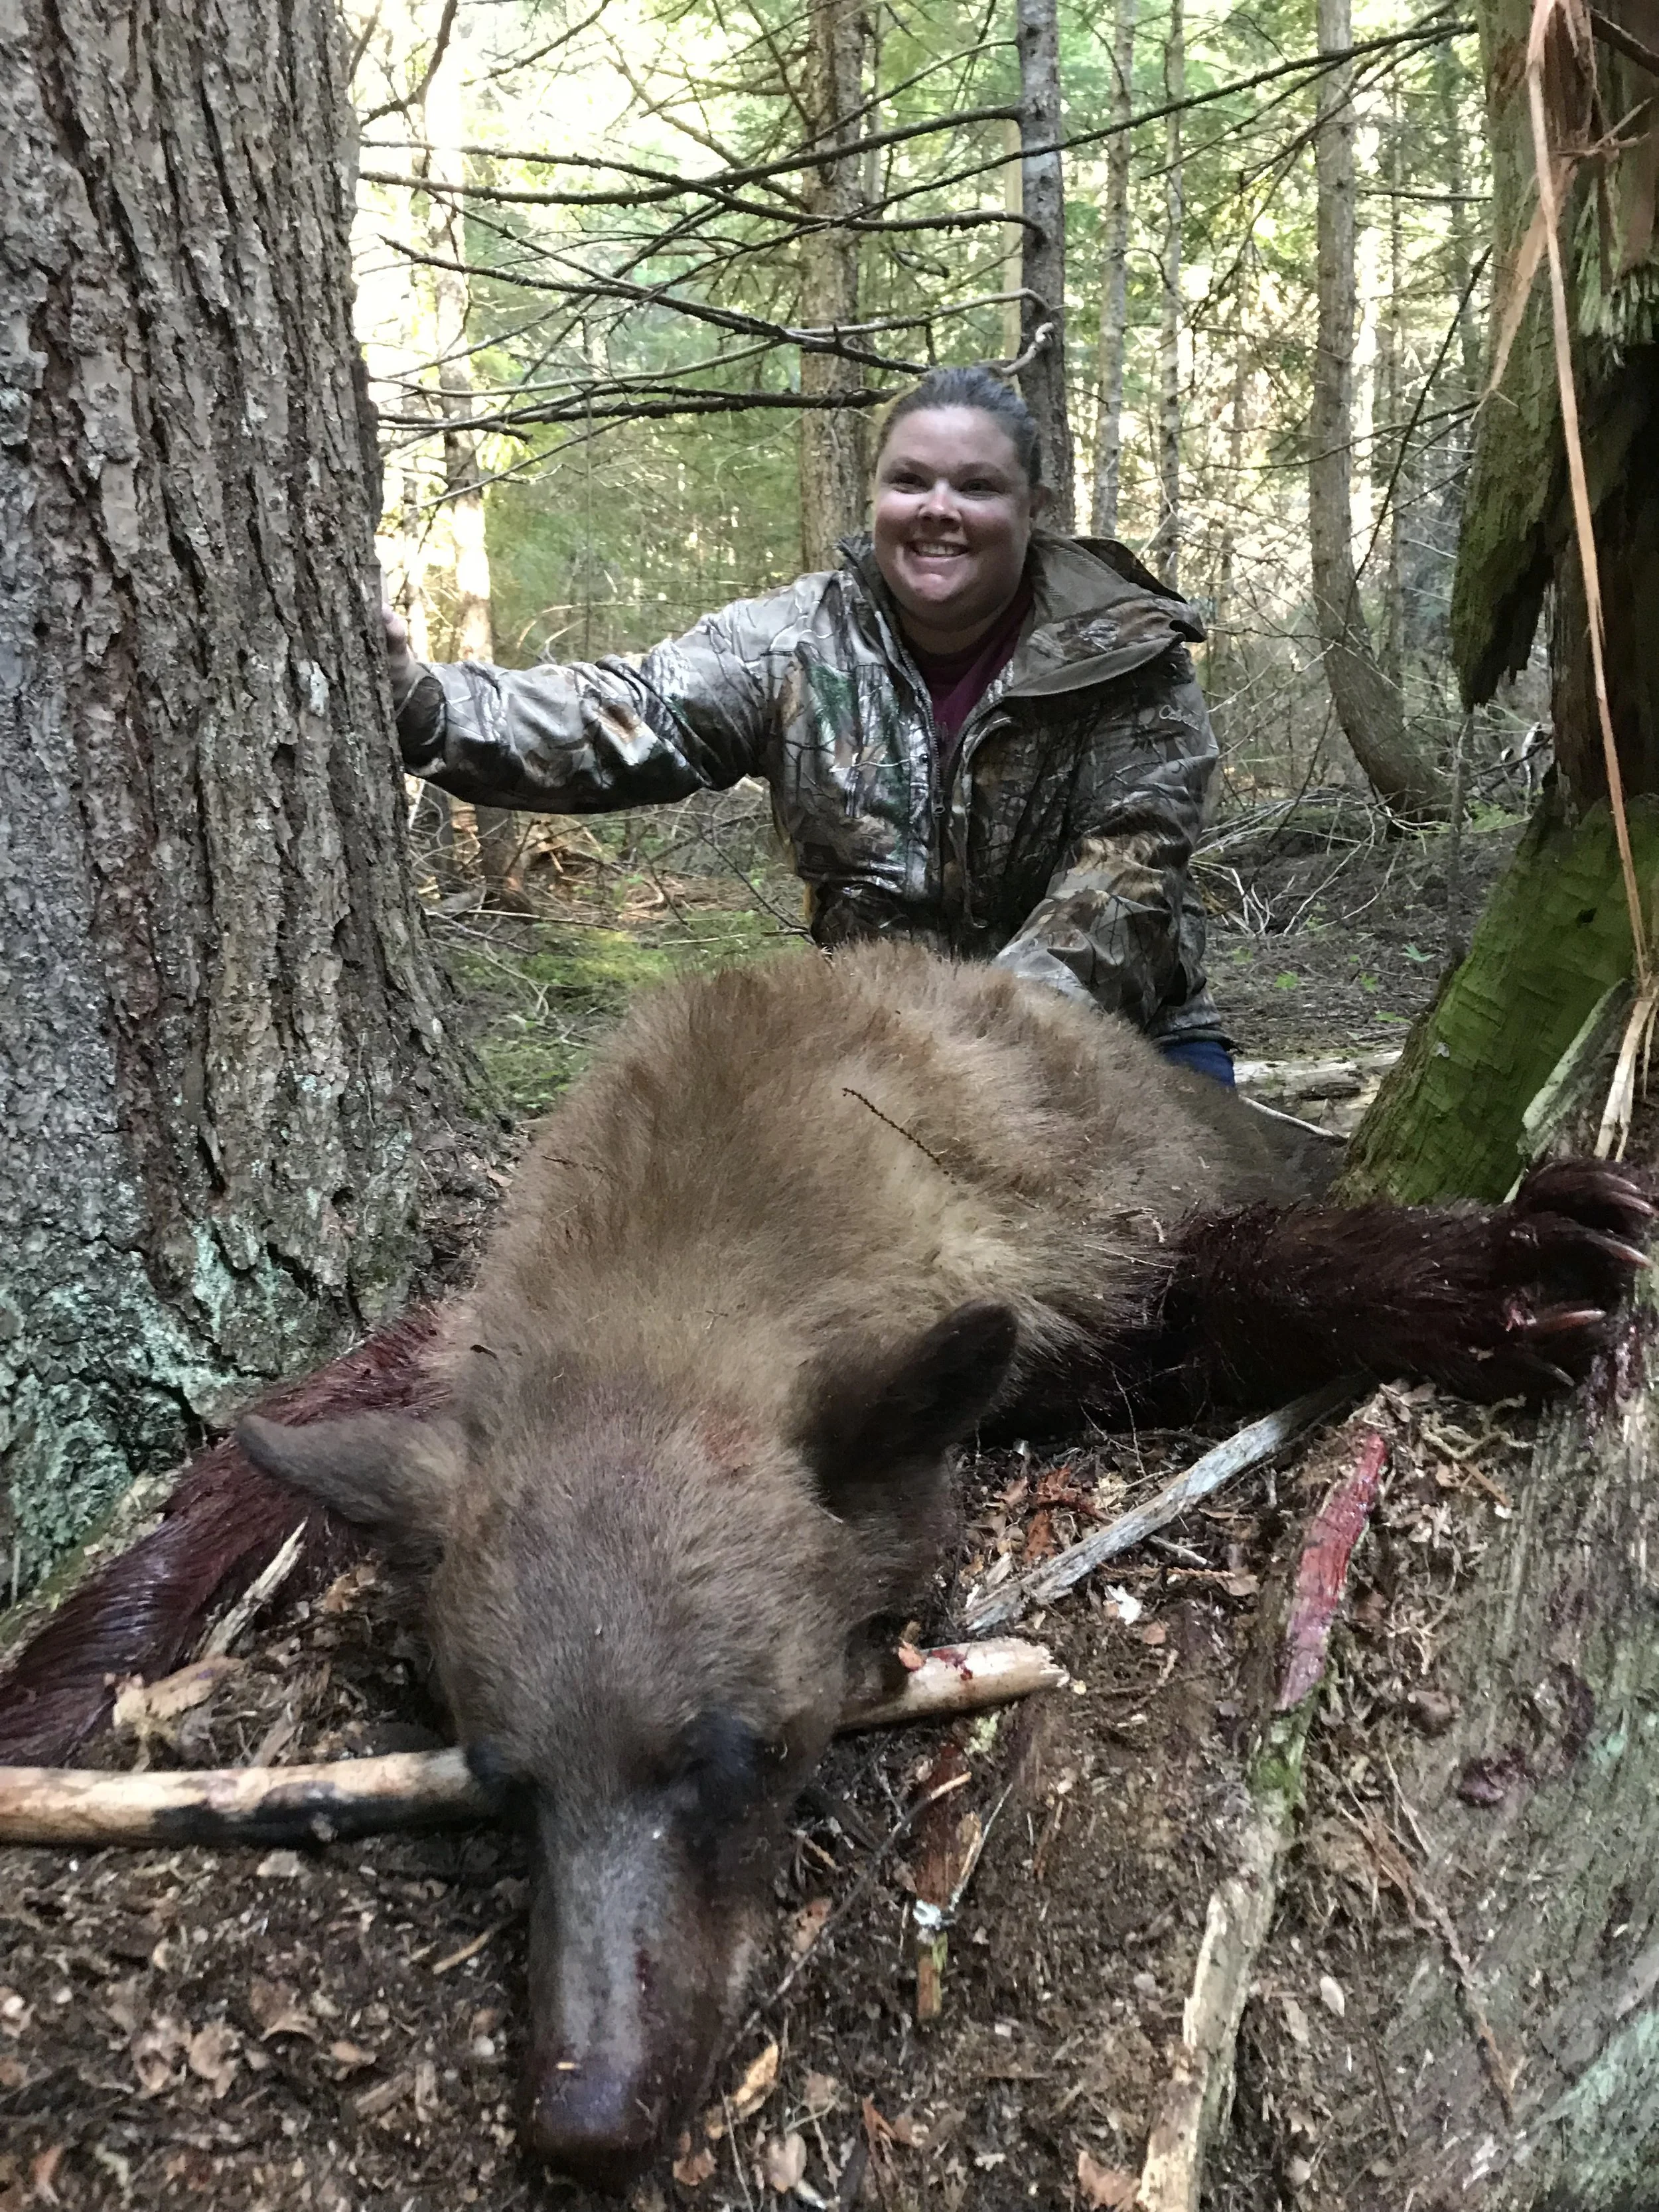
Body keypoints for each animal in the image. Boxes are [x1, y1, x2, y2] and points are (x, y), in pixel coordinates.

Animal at [237, 943, 1649, 2191]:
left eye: (731, 1753)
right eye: (503, 1780)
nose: (587, 2116)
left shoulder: (1076, 1241)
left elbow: (1235, 1272)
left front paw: (1502, 1269)